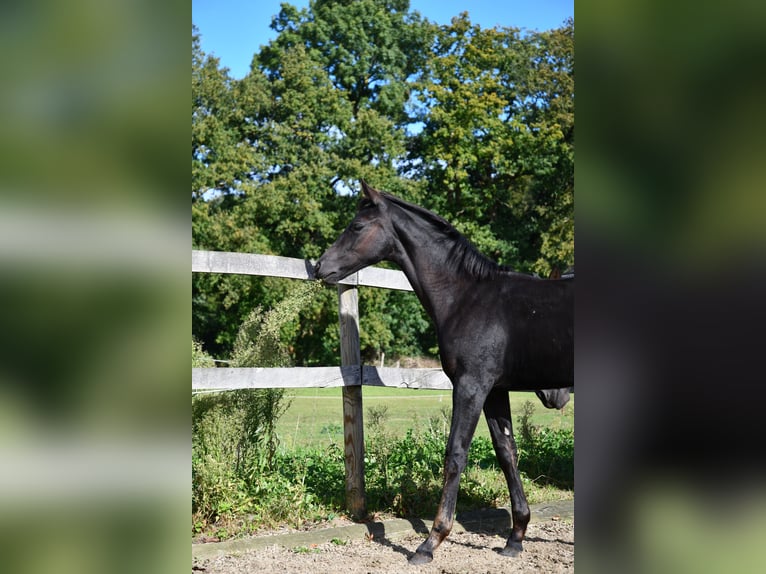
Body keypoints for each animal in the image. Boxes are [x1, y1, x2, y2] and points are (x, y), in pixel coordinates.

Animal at [316, 183, 572, 568]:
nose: (320, 267)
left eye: (357, 226)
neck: (467, 297)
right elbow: (507, 452)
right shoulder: (494, 391)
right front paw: (515, 537)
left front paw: (430, 542)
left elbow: (455, 455)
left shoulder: (470, 386)